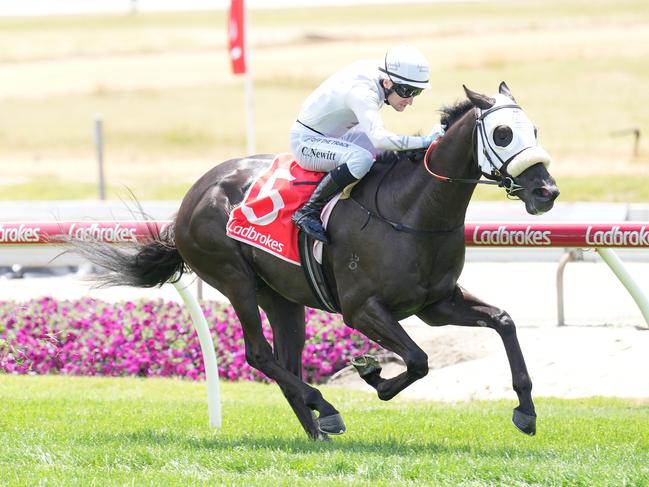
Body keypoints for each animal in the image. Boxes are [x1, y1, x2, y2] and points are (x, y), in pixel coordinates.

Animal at [78, 84, 560, 442]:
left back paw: (318, 429)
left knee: (286, 363)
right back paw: (326, 410)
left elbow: (503, 322)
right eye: (502, 133)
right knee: (258, 354)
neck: (412, 210)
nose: (547, 191)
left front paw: (526, 411)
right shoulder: (361, 309)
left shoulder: (435, 304)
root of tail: (191, 198)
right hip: (234, 279)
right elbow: (418, 359)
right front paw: (374, 375)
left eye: (535, 129)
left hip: (282, 298)